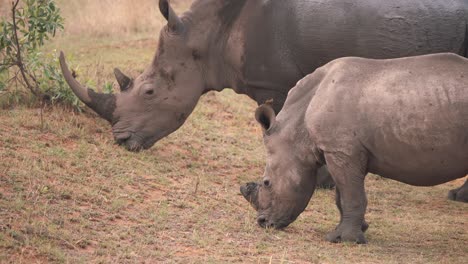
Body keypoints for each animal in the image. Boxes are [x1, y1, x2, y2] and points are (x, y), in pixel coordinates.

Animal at [241, 53, 468, 243]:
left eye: (267, 183)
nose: (262, 223)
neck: (297, 130)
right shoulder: (344, 151)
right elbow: (343, 194)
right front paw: (359, 229)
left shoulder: (341, 150)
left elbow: (351, 195)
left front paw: (343, 240)